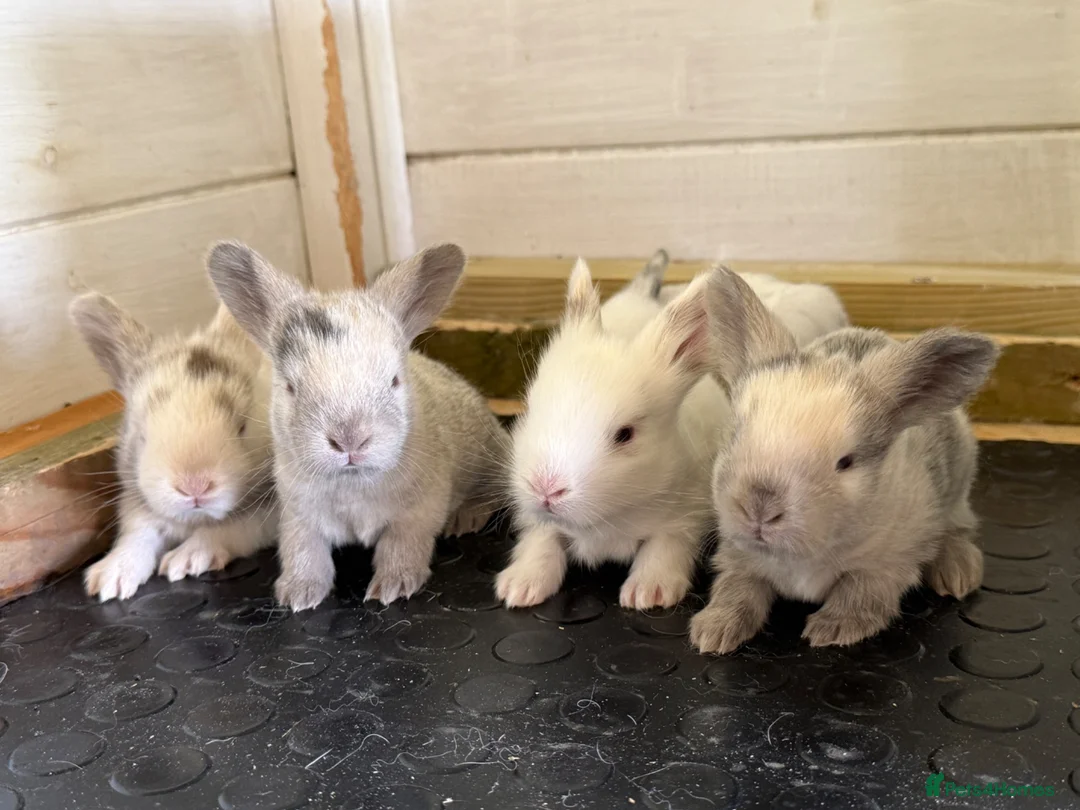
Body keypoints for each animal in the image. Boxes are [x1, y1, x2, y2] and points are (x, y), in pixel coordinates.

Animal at [69, 295, 278, 601]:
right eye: (143, 434)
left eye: (242, 426)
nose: (194, 487)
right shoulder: (137, 503)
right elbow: (139, 533)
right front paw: (111, 576)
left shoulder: (269, 514)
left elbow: (232, 528)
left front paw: (186, 559)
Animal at [205, 241, 508, 610]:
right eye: (290, 387)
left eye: (394, 380)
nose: (349, 440)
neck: (351, 483)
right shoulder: (297, 517)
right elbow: (302, 550)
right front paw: (298, 593)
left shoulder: (419, 512)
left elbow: (401, 546)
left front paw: (394, 586)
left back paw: (466, 518)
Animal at [497, 258, 733, 611]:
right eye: (530, 407)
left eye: (625, 434)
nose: (546, 490)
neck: (605, 519)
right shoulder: (537, 522)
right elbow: (541, 541)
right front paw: (519, 587)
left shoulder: (687, 515)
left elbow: (665, 546)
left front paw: (649, 593)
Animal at [689, 267, 999, 653]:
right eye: (736, 433)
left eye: (846, 462)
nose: (759, 508)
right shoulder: (738, 556)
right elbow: (737, 590)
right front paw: (714, 631)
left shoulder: (886, 565)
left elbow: (859, 595)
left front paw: (832, 630)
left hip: (957, 491)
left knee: (958, 530)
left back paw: (957, 574)